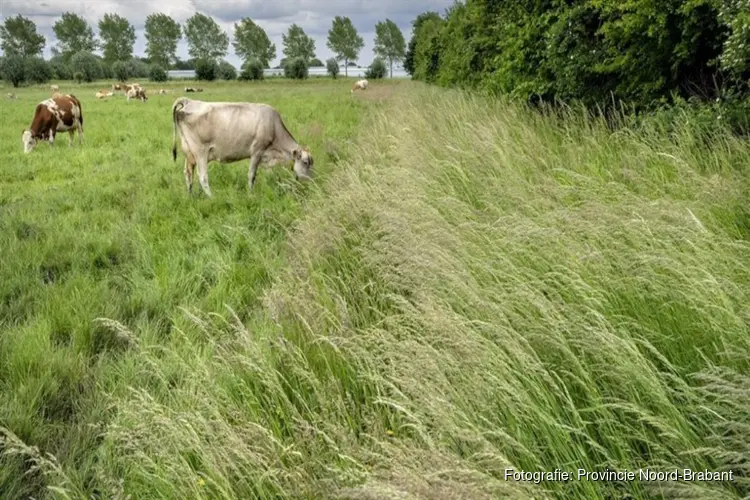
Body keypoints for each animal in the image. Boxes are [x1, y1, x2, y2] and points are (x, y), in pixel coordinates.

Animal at [171, 98, 314, 197]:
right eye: (305, 162)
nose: (312, 181)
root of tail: (189, 101)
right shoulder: (257, 151)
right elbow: (252, 175)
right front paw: (250, 194)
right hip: (200, 152)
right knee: (203, 177)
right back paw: (212, 197)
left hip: (189, 154)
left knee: (188, 173)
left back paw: (190, 195)